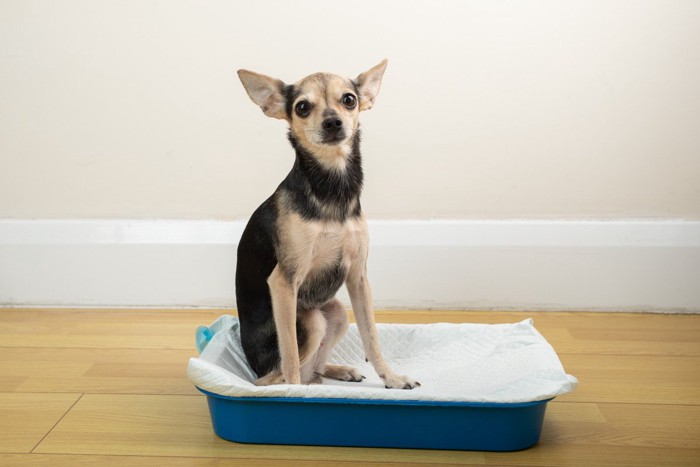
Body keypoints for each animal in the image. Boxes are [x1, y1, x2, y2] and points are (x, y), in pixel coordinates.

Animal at [235, 61, 422, 392]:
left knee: (315, 367)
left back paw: (337, 372)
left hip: (335, 313)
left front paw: (391, 378)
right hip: (309, 322)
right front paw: (294, 396)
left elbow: (371, 336)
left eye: (349, 99)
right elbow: (290, 355)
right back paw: (300, 387)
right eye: (302, 107)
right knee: (275, 375)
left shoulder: (359, 277)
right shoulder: (283, 283)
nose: (333, 122)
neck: (333, 188)